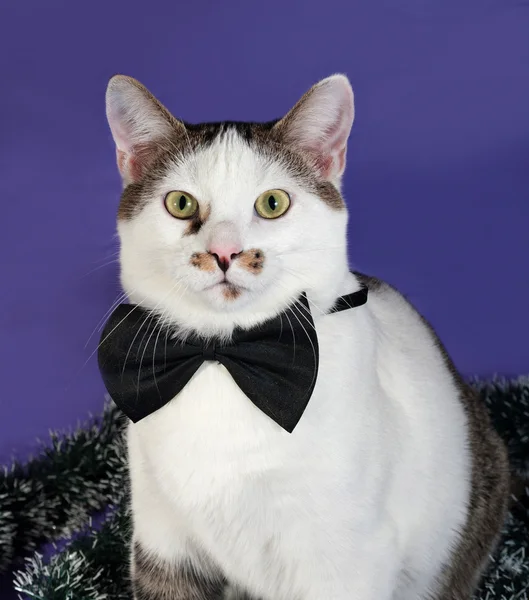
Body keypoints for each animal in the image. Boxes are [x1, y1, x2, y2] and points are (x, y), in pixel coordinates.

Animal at [102, 72, 508, 596]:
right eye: (180, 203)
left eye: (272, 203)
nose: (224, 252)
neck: (224, 360)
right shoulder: (163, 542)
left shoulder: (345, 560)